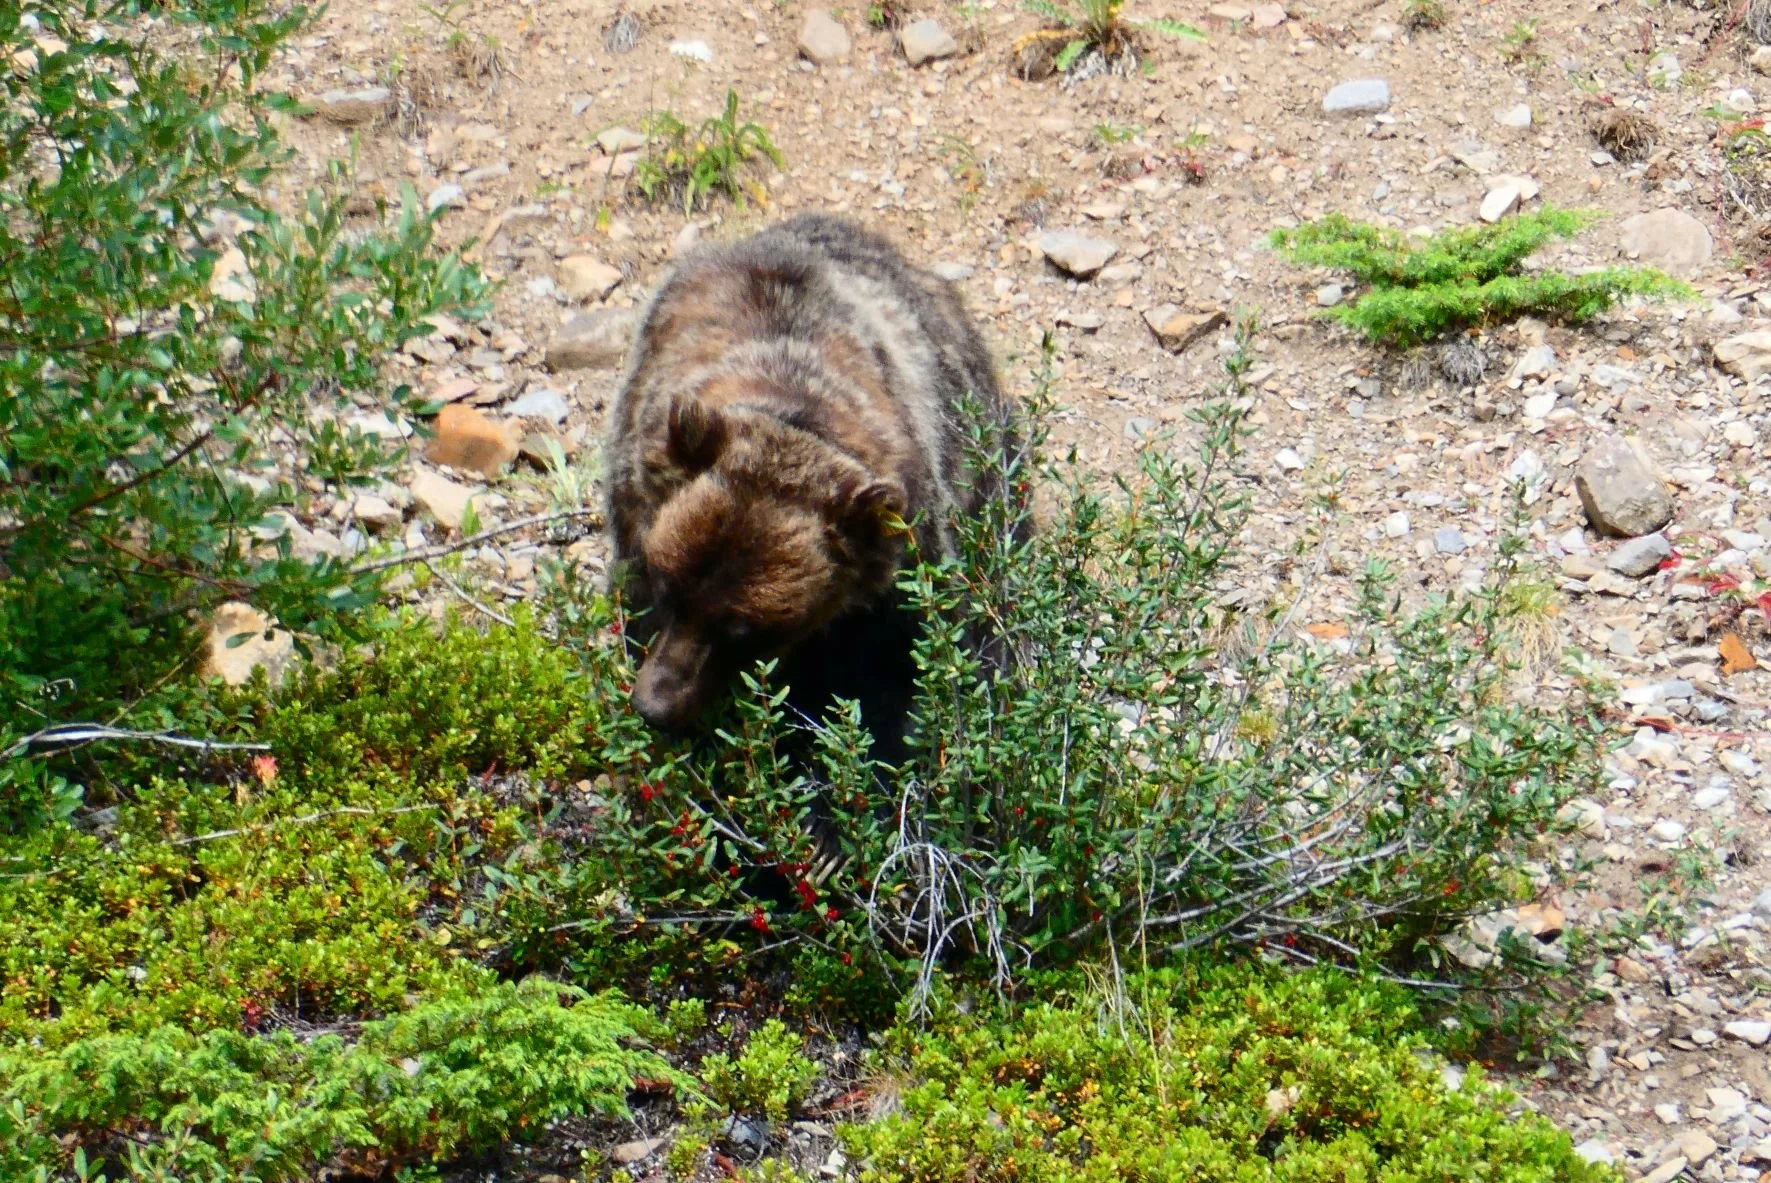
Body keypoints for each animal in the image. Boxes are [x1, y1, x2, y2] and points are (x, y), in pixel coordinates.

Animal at [602, 212, 1010, 761]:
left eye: (744, 630)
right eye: (668, 587)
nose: (655, 705)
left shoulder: (898, 569)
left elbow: (900, 671)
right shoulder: (637, 489)